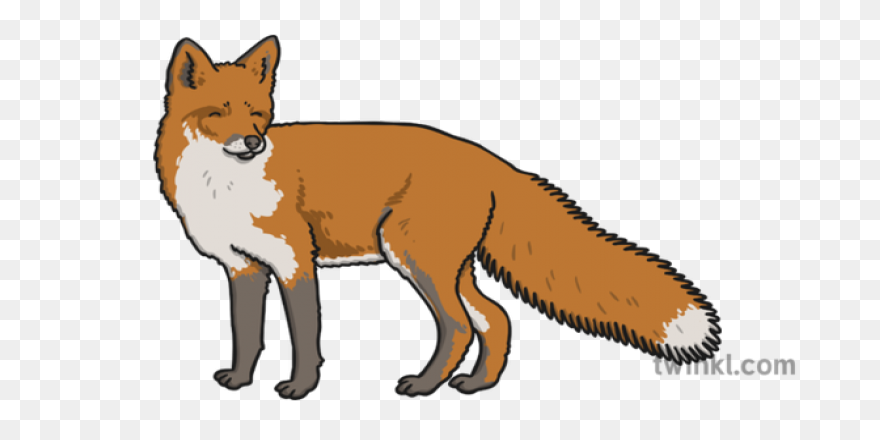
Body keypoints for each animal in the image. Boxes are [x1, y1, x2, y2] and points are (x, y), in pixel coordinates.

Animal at [155, 36, 721, 399]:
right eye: (218, 112)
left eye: (257, 113)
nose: (254, 142)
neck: (223, 186)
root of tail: (489, 158)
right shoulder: (244, 268)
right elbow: (246, 332)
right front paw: (239, 381)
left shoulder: (295, 261)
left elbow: (305, 336)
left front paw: (299, 388)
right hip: (448, 266)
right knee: (495, 319)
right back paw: (476, 385)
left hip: (414, 258)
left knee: (460, 326)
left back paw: (425, 386)